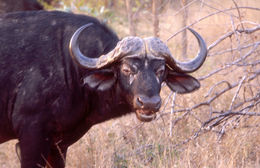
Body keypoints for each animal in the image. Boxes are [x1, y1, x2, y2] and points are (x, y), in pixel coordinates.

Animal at [0, 10, 207, 168]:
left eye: (161, 71)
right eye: (126, 69)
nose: (149, 103)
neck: (70, 67)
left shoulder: (58, 145)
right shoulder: (31, 137)